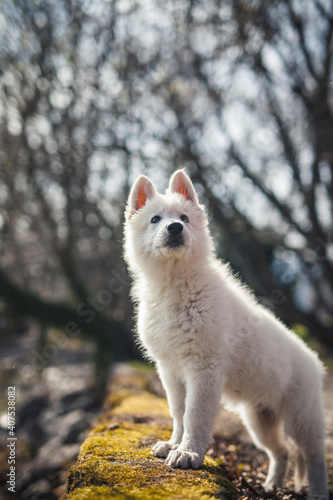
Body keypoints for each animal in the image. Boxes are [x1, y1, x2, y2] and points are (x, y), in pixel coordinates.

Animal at [123, 170, 328, 498]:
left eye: (184, 217)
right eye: (155, 219)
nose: (175, 227)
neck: (175, 285)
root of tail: (315, 361)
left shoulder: (203, 368)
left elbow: (194, 415)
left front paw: (188, 453)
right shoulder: (170, 370)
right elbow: (178, 412)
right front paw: (173, 444)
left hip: (301, 417)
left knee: (314, 456)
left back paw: (318, 492)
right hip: (259, 418)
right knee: (281, 452)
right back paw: (271, 485)